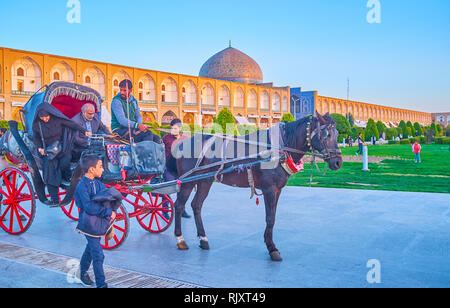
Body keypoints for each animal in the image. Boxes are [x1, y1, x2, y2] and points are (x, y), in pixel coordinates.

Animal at [171, 112, 342, 262]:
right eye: (326, 135)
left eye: (337, 133)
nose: (338, 162)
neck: (280, 147)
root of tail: (181, 144)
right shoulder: (269, 189)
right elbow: (270, 218)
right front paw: (272, 248)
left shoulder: (278, 190)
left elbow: (273, 217)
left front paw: (270, 245)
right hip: (187, 181)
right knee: (179, 205)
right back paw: (180, 239)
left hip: (205, 180)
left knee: (196, 205)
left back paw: (203, 239)